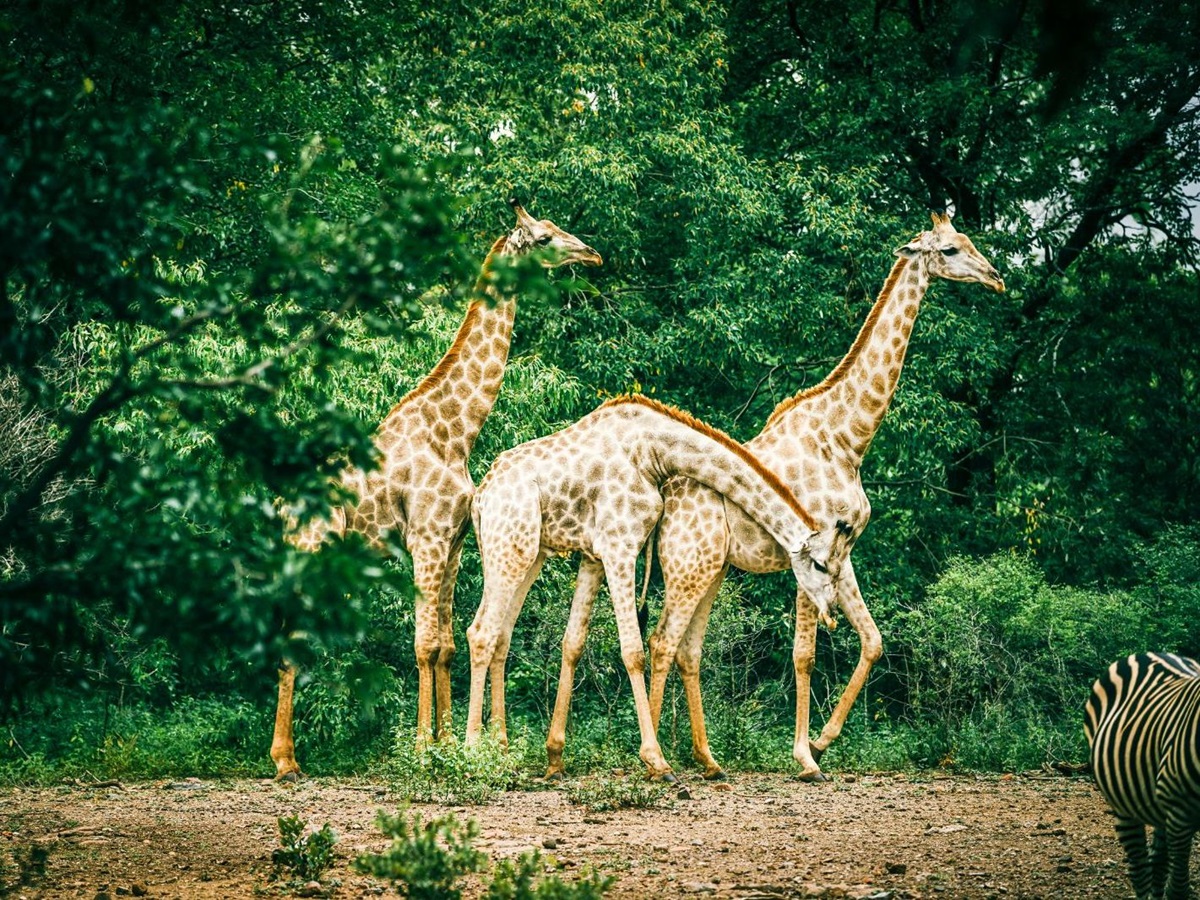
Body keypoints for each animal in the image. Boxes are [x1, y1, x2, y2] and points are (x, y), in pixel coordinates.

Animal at [270, 200, 602, 781]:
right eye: (543, 237)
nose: (591, 254)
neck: (455, 429)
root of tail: (283, 506)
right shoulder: (423, 536)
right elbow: (424, 644)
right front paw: (424, 748)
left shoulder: (452, 541)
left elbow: (445, 644)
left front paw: (446, 741)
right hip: (310, 550)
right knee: (291, 633)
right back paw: (285, 760)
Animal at [463, 393, 841, 780]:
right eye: (822, 565)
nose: (831, 615)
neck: (654, 451)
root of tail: (481, 498)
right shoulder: (619, 546)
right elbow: (633, 651)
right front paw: (657, 761)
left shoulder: (593, 555)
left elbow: (573, 643)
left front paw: (555, 757)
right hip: (511, 548)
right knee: (481, 632)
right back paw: (474, 750)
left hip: (528, 552)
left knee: (501, 636)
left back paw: (502, 749)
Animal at [546, 212, 1004, 781]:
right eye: (950, 250)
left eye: (967, 241)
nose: (996, 277)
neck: (848, 437)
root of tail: (665, 491)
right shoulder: (808, 559)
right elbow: (805, 655)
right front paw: (806, 758)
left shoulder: (844, 555)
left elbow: (873, 641)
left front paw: (825, 742)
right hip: (689, 565)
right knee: (662, 642)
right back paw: (656, 760)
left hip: (714, 569)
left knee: (687, 650)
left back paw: (707, 759)